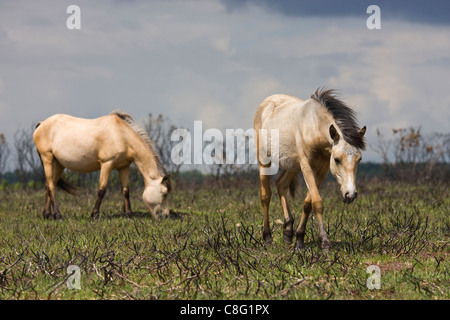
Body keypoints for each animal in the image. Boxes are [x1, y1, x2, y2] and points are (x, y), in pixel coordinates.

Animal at [33, 111, 171, 219]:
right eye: (164, 194)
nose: (165, 215)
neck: (122, 135)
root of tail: (41, 124)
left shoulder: (123, 167)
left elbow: (125, 191)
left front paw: (128, 214)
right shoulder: (107, 164)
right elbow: (101, 190)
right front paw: (94, 214)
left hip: (58, 164)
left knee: (49, 185)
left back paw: (47, 215)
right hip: (47, 158)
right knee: (51, 187)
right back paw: (58, 215)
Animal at [253, 88, 366, 250]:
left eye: (359, 159)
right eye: (337, 159)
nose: (350, 195)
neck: (313, 125)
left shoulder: (322, 170)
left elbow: (308, 203)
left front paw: (299, 240)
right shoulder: (307, 166)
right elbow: (317, 202)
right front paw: (325, 242)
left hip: (293, 165)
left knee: (281, 184)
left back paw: (288, 232)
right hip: (263, 159)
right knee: (265, 196)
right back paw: (267, 237)